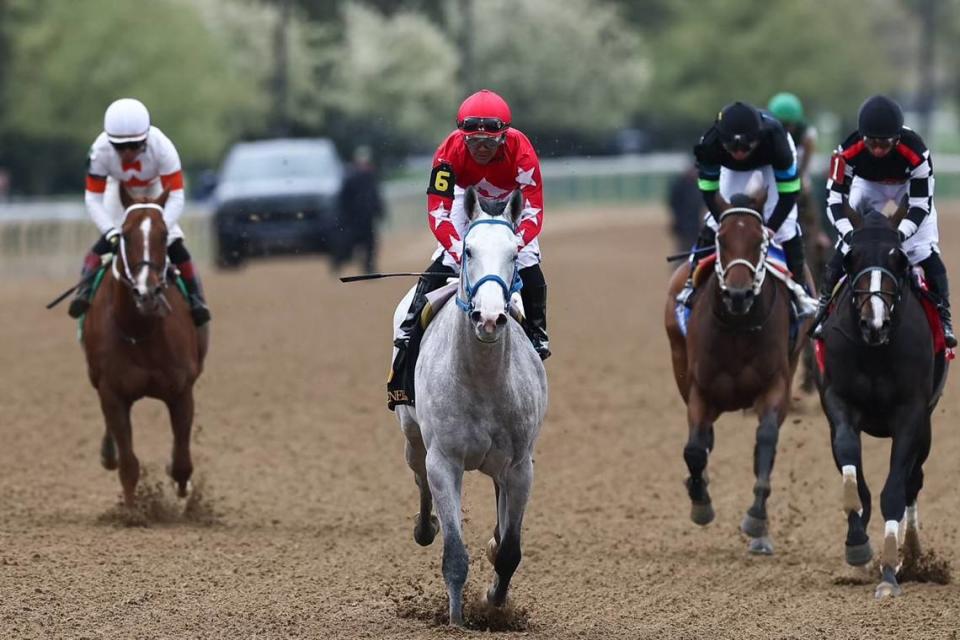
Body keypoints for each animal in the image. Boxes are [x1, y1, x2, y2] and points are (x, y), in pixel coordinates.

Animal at [80, 188, 208, 508]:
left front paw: (183, 493)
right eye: (125, 235)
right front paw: (131, 510)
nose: (146, 291)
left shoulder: (181, 391)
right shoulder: (112, 392)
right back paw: (108, 453)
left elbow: (182, 463)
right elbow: (129, 464)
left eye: (163, 235)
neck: (139, 330)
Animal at [390, 188, 548, 628]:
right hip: (412, 436)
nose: (490, 318)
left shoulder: (520, 466)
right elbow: (455, 555)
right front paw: (458, 621)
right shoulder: (445, 461)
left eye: (514, 252)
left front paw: (494, 604)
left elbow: (509, 551)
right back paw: (424, 526)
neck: (483, 378)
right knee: (418, 476)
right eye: (468, 250)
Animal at [664, 191, 812, 556]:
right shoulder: (700, 390)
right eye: (720, 239)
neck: (738, 327)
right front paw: (700, 501)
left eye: (760, 241)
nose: (739, 294)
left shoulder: (776, 386)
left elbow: (766, 442)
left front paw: (757, 519)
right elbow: (694, 448)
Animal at [812, 212, 948, 596]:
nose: (875, 323)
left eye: (898, 259)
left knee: (913, 482)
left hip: (926, 429)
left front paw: (890, 570)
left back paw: (911, 555)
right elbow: (852, 472)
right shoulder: (837, 403)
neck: (874, 351)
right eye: (850, 258)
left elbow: (895, 490)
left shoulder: (911, 414)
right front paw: (858, 546)